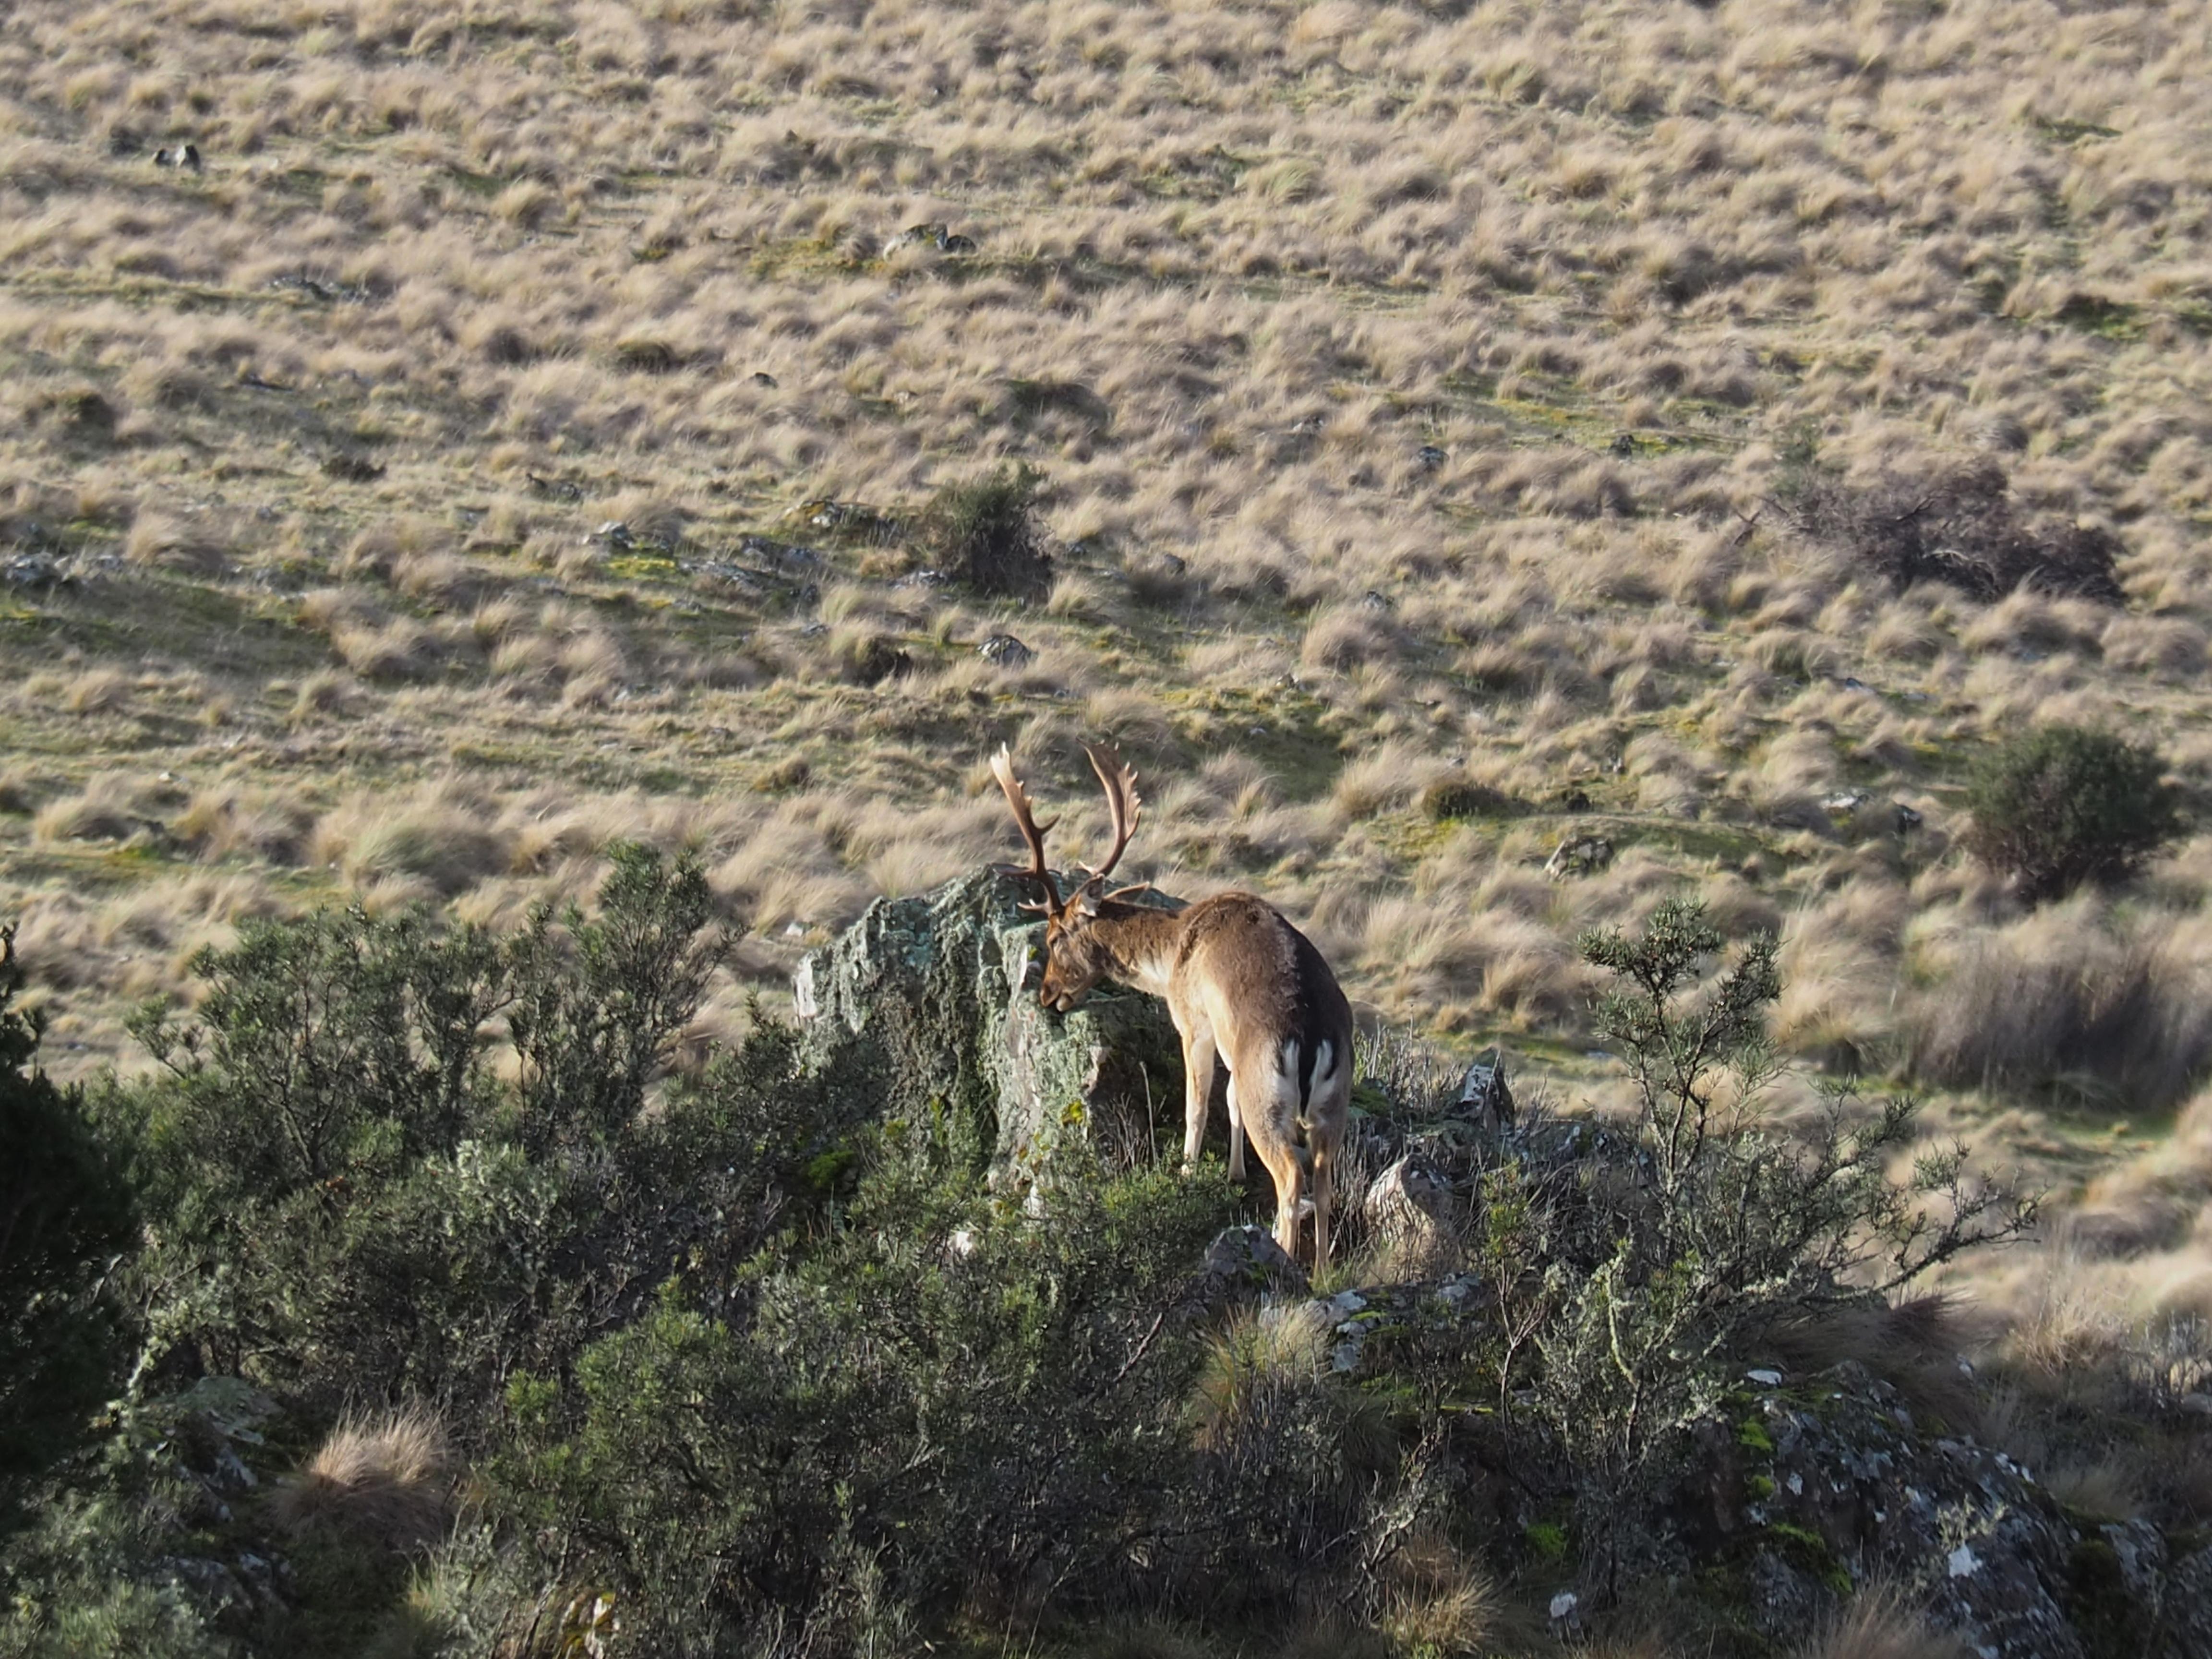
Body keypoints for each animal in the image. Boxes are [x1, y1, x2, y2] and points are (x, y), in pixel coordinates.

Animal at [990, 742, 1353, 1266]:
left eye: (1056, 936)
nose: (1047, 995)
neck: (1172, 955)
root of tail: (1312, 1036)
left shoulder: (1193, 1020)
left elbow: (1196, 1104)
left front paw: (1186, 1171)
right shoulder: (1228, 1045)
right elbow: (1228, 1098)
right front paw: (1234, 1173)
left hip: (1268, 1092)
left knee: (1292, 1175)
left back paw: (1284, 1258)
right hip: (1334, 1100)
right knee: (1324, 1177)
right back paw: (1322, 1269)